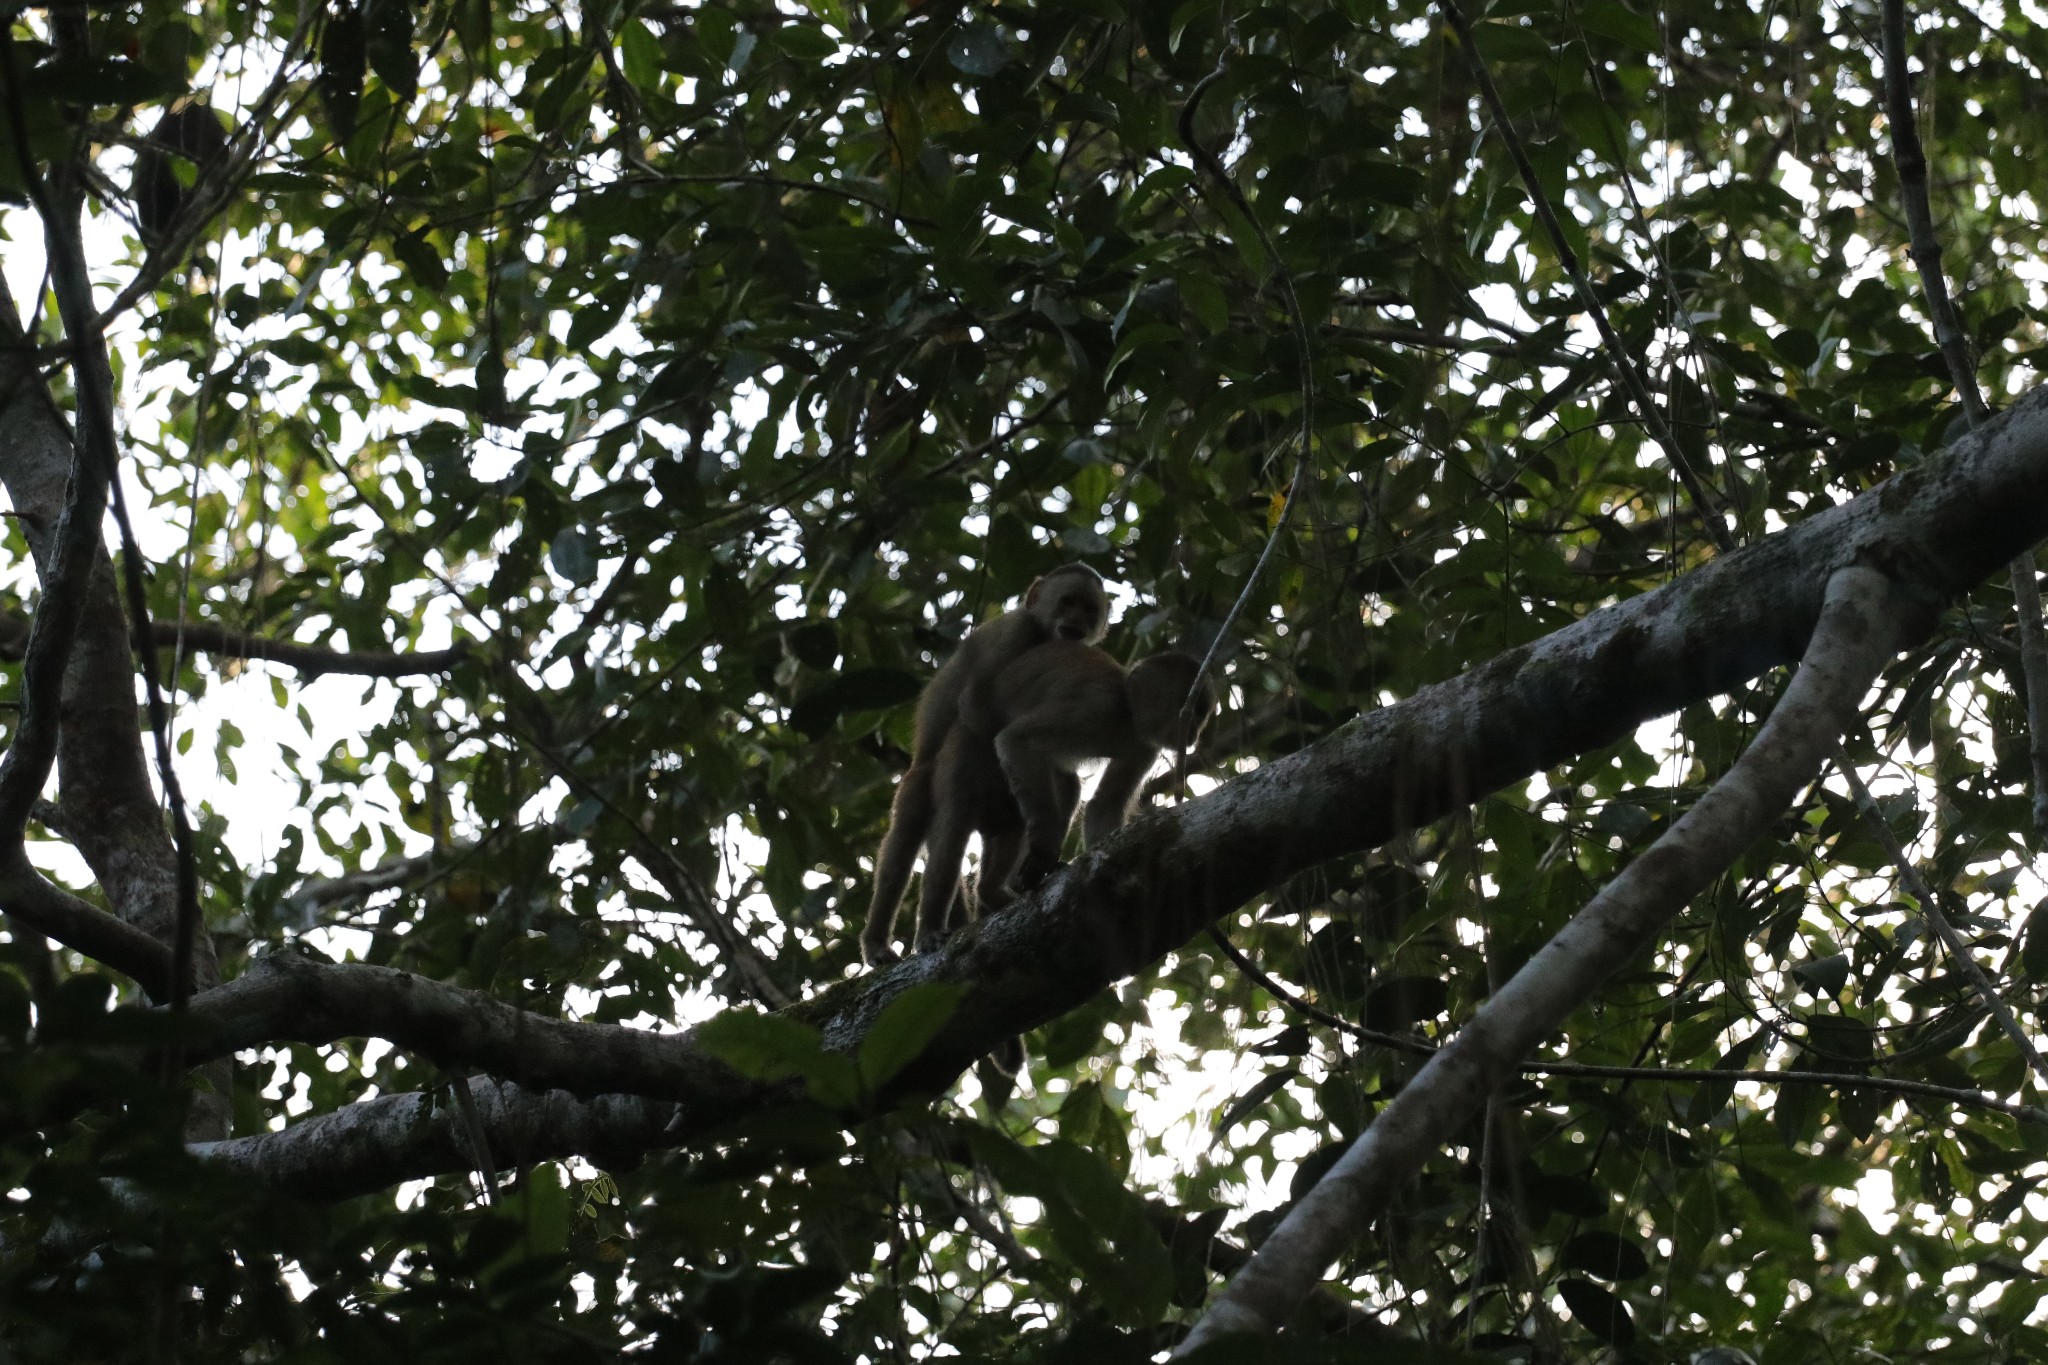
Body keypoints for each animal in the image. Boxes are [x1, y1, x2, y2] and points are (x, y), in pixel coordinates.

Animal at [856, 560, 1105, 965]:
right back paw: (895, 936)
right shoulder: (1017, 633)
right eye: (1067, 602)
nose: (1075, 621)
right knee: (921, 836)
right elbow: (976, 708)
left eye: (1088, 610)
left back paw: (992, 890)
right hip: (920, 784)